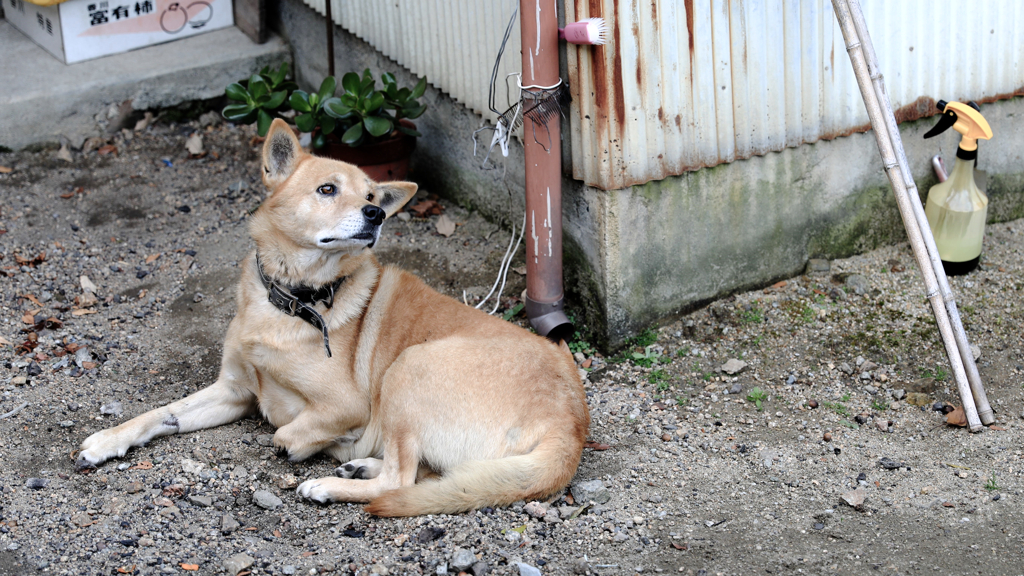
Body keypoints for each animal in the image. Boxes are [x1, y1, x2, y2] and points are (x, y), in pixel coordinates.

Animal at [77, 118, 593, 512]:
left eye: (371, 196)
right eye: (327, 189)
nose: (375, 214)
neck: (292, 299)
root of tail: (570, 428)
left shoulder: (346, 405)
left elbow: (288, 431)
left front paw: (309, 445)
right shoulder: (233, 390)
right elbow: (161, 414)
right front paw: (107, 440)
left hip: (410, 366)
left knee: (401, 480)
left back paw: (331, 481)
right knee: (429, 473)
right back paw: (359, 465)